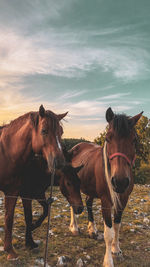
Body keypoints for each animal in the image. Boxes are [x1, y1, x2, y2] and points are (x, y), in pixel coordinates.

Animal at [0, 105, 67, 260]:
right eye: (44, 131)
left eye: (61, 132)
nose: (60, 163)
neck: (7, 153)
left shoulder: (14, 191)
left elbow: (14, 217)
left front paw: (16, 247)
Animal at [68, 107, 142, 267]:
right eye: (108, 138)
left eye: (134, 139)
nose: (120, 182)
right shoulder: (106, 201)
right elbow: (109, 232)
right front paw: (108, 260)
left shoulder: (123, 199)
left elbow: (117, 226)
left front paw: (116, 249)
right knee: (72, 203)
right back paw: (74, 227)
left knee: (88, 202)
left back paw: (92, 229)